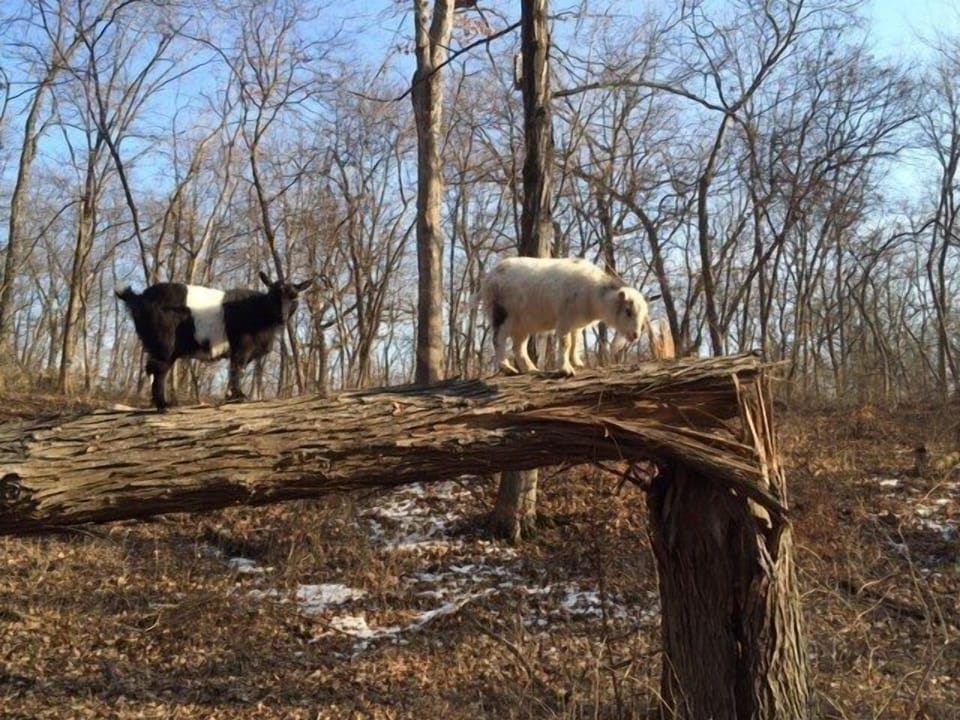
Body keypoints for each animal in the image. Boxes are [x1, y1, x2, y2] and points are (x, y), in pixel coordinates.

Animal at [116, 272, 312, 411]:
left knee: (158, 369)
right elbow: (237, 368)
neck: (258, 308)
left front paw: (231, 397)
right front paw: (239, 397)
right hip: (164, 344)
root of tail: (138, 298)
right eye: (273, 294)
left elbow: (234, 369)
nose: (282, 316)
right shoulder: (242, 346)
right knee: (157, 369)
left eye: (294, 296)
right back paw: (163, 406)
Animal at [480, 256, 655, 376]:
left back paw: (531, 369)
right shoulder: (564, 320)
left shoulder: (576, 326)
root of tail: (489, 278)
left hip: (522, 326)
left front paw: (577, 363)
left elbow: (574, 343)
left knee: (518, 347)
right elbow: (565, 343)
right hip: (501, 315)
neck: (595, 296)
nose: (635, 335)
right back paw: (507, 368)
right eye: (628, 311)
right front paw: (566, 369)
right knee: (498, 340)